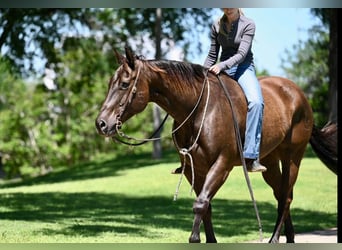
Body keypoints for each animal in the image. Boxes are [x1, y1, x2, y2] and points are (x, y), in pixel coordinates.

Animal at [95, 46, 334, 242]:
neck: (199, 109)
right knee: (282, 194)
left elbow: (201, 203)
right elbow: (206, 207)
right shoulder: (193, 169)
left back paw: (275, 239)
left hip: (292, 157)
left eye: (124, 84)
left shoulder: (222, 165)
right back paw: (290, 237)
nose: (101, 123)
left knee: (285, 197)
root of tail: (299, 95)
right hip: (270, 161)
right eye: (109, 84)